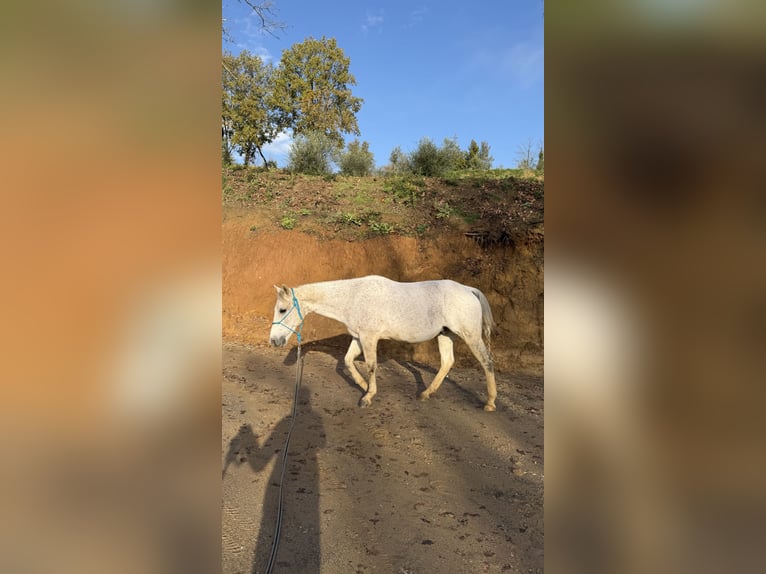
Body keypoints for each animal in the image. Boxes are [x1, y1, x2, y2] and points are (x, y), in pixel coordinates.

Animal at [268, 275, 498, 411]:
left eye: (282, 309)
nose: (274, 340)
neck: (354, 297)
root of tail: (468, 289)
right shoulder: (358, 337)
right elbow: (348, 361)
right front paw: (363, 386)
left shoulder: (369, 338)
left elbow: (371, 365)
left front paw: (368, 396)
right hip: (445, 334)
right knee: (447, 362)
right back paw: (425, 394)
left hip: (470, 336)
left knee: (486, 362)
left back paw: (490, 402)